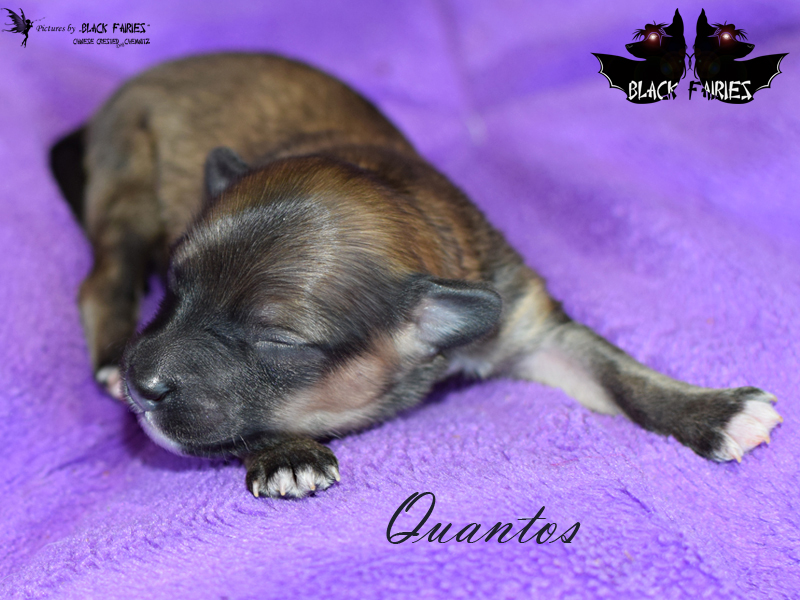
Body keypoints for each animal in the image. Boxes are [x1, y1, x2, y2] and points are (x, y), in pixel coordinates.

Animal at [50, 53, 781, 498]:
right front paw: (286, 452)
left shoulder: (528, 322)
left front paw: (716, 411)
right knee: (101, 277)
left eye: (276, 343)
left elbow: (619, 372)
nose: (142, 385)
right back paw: (110, 354)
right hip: (127, 182)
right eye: (174, 288)